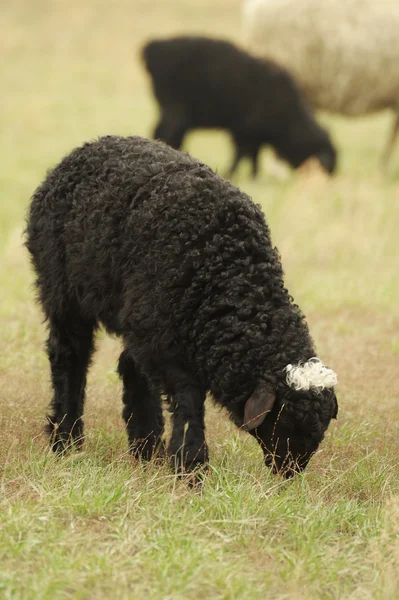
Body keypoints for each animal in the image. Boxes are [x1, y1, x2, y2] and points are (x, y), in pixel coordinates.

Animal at [25, 136, 340, 478]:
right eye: (286, 419)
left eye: (320, 427)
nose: (289, 472)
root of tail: (80, 151)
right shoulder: (168, 349)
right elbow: (189, 404)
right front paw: (190, 467)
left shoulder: (158, 331)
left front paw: (168, 456)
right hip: (64, 293)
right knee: (69, 356)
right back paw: (66, 439)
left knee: (129, 367)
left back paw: (144, 448)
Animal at [143, 36, 338, 177]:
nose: (328, 177)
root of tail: (152, 47)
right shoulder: (243, 131)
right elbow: (242, 155)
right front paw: (233, 173)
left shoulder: (254, 135)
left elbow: (253, 156)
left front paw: (254, 175)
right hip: (175, 111)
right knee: (165, 132)